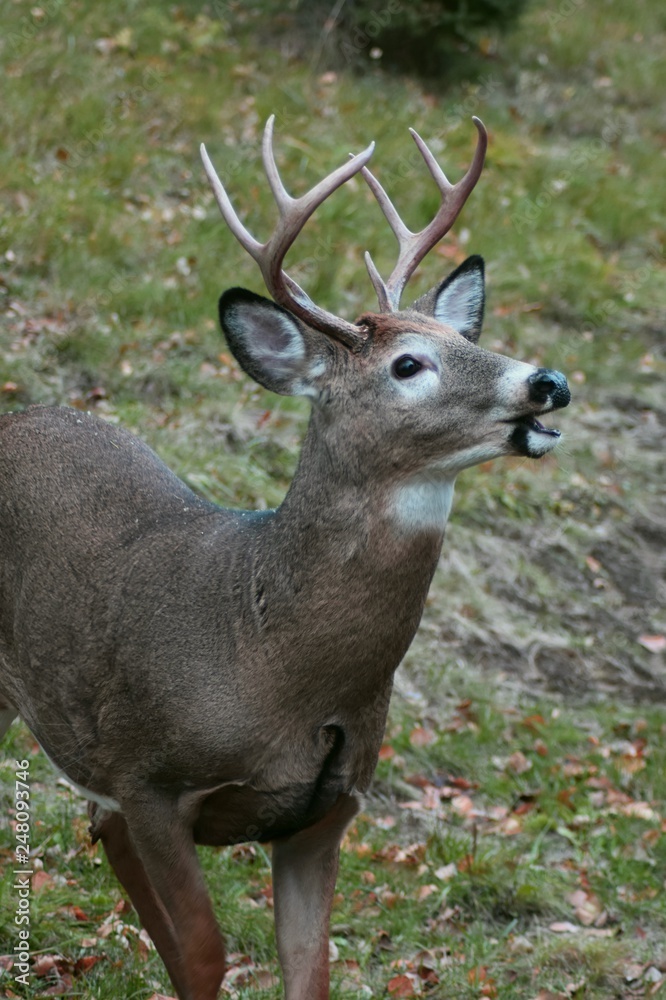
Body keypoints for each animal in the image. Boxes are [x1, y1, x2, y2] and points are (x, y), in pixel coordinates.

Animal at [1, 113, 564, 996]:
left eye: (460, 333)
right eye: (408, 363)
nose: (548, 382)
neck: (269, 659)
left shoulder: (327, 814)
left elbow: (308, 966)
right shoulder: (149, 778)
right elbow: (206, 953)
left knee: (98, 828)